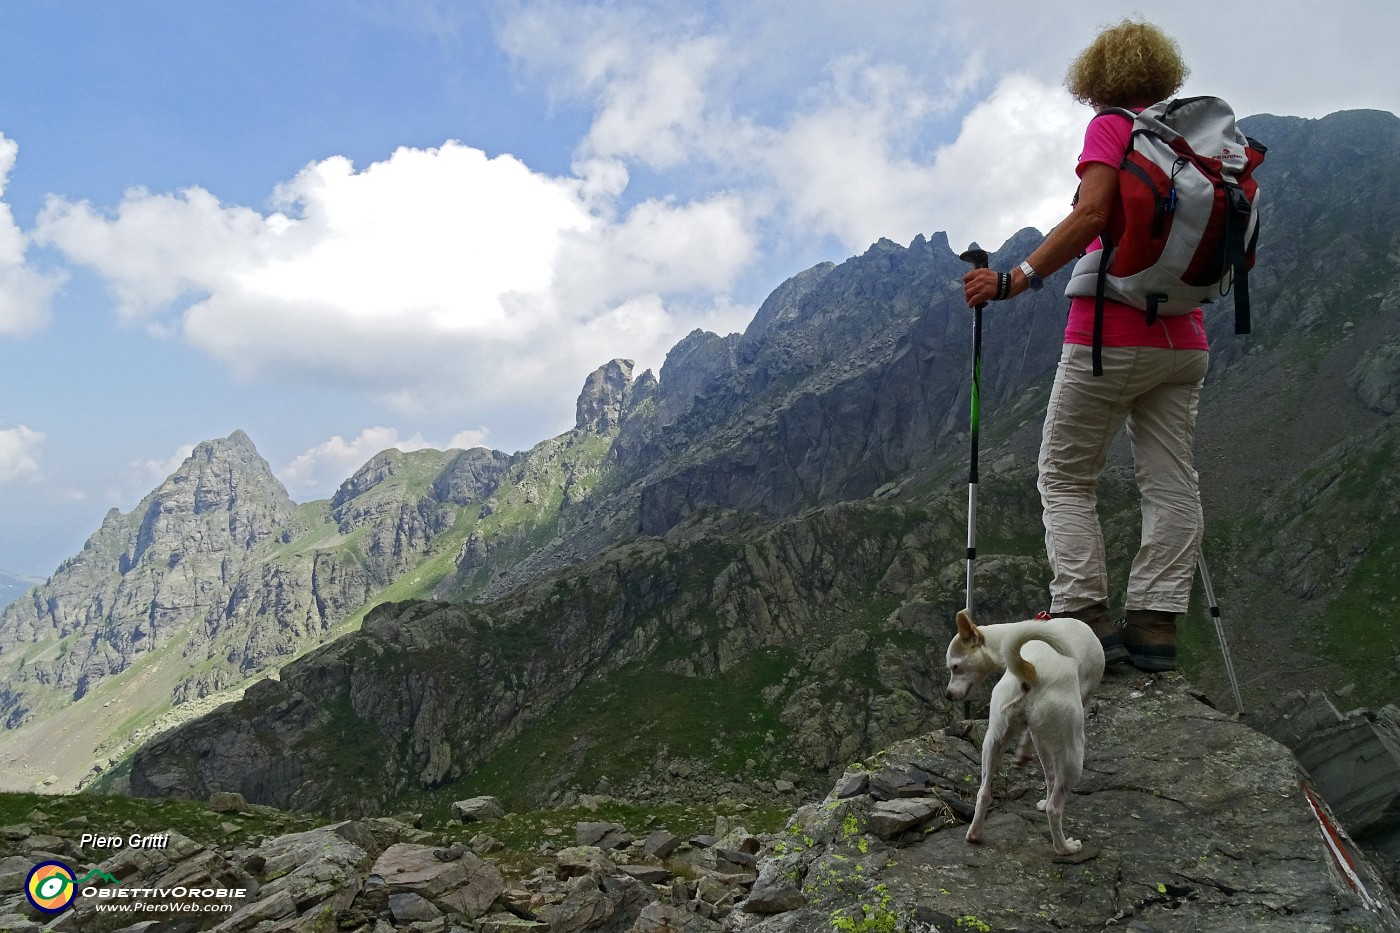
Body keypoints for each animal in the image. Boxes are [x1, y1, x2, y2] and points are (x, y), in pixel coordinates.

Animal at [952, 607, 1103, 851]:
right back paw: (1065, 847)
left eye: (955, 667)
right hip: (1072, 751)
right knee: (1055, 807)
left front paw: (1022, 755)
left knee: (985, 792)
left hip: (993, 741)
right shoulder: (1083, 698)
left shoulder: (1035, 733)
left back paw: (975, 834)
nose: (947, 694)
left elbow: (1034, 750)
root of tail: (1029, 669)